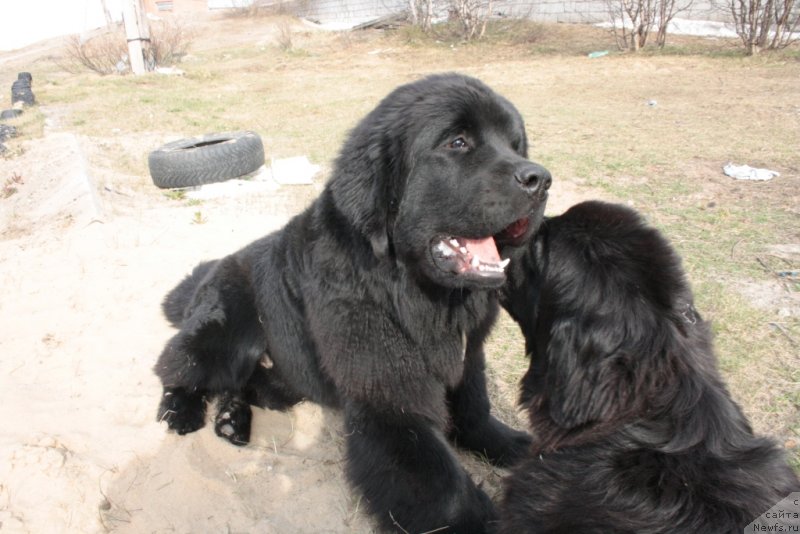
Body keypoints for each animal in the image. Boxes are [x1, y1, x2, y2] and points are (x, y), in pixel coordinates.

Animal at [152, 73, 552, 532]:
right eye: (457, 142)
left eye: (516, 146)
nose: (541, 180)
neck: (413, 297)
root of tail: (216, 266)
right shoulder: (389, 403)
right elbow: (446, 491)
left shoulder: (467, 357)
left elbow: (474, 409)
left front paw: (518, 446)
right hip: (222, 334)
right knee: (177, 366)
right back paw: (181, 411)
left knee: (237, 384)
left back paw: (231, 420)